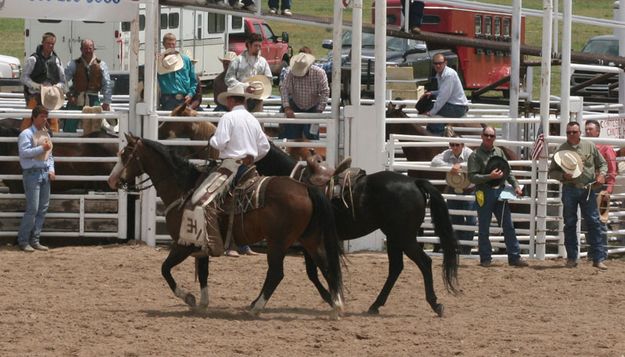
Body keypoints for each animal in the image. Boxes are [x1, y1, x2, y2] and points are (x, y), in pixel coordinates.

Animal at [108, 134, 346, 318]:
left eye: (125, 155)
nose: (111, 180)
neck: (184, 188)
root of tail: (306, 188)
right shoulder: (201, 245)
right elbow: (203, 272)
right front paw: (202, 303)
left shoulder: (184, 243)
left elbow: (165, 269)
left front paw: (189, 298)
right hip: (309, 239)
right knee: (327, 267)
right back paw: (335, 305)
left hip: (279, 242)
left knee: (276, 273)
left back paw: (256, 308)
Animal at [254, 149, 458, 316]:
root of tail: (414, 182)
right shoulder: (308, 242)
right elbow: (315, 272)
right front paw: (333, 298)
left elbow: (315, 272)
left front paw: (332, 298)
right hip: (394, 237)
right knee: (396, 268)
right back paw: (376, 305)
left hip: (404, 237)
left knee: (424, 263)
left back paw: (435, 304)